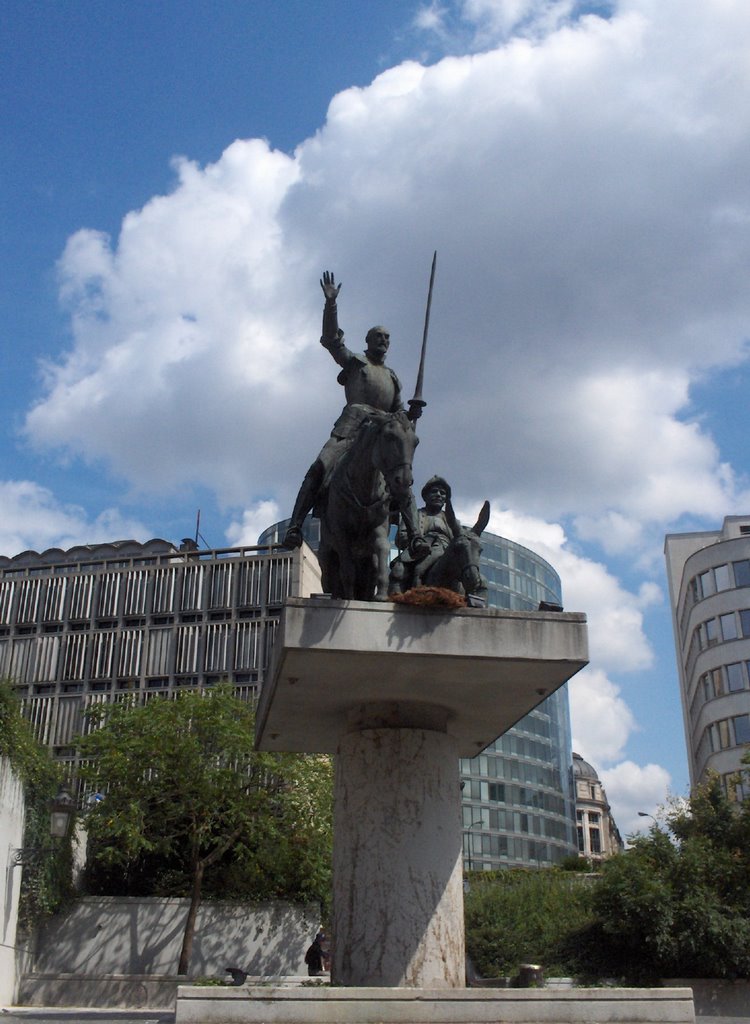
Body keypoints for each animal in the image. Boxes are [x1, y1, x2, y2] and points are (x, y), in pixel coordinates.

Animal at [317, 407, 418, 598]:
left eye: (416, 442)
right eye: (389, 436)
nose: (403, 481)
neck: (363, 488)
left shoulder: (378, 529)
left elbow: (382, 548)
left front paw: (382, 594)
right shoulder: (342, 535)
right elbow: (347, 571)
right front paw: (349, 598)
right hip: (326, 558)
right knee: (332, 579)